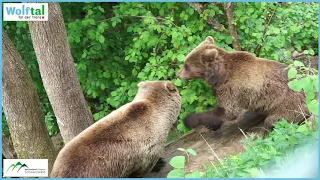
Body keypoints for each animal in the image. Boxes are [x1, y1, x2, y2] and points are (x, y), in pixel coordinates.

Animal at [178, 35, 310, 131]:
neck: (220, 75)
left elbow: (227, 112)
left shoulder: (231, 89)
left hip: (289, 106)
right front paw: (212, 125)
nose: (178, 74)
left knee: (274, 121)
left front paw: (189, 119)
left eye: (186, 66)